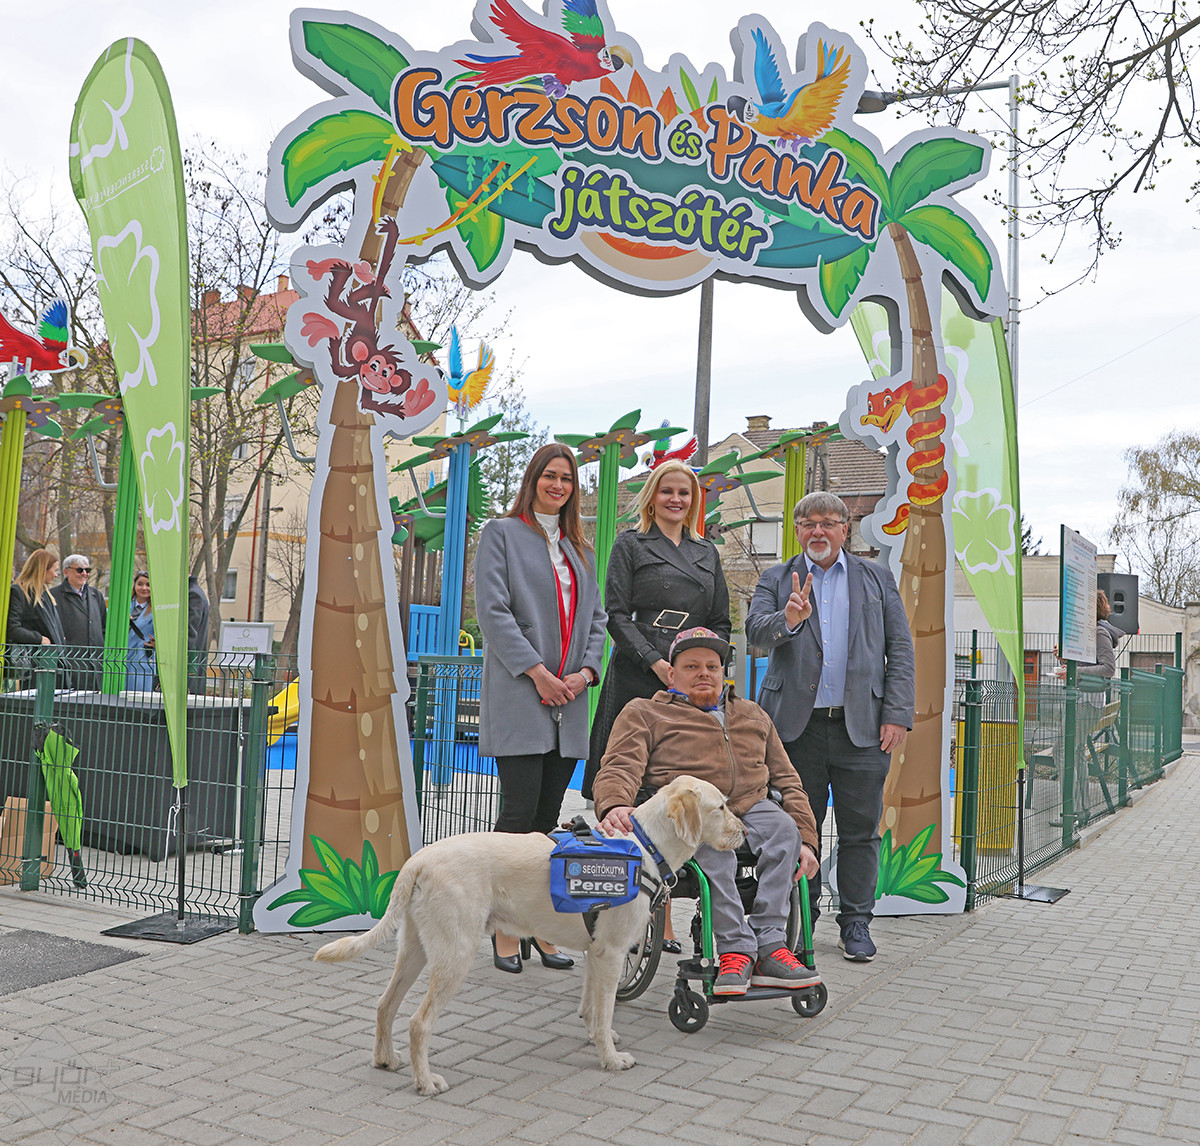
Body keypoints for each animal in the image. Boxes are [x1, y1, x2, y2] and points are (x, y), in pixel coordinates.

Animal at [313, 775, 744, 1095]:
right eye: (721, 806)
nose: (742, 832)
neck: (645, 847)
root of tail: (420, 858)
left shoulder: (596, 954)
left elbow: (592, 1009)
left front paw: (597, 1037)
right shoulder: (612, 953)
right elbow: (605, 1010)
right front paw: (609, 1058)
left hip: (416, 949)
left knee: (385, 1005)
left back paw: (385, 1059)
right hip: (455, 954)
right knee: (419, 1023)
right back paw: (425, 1082)